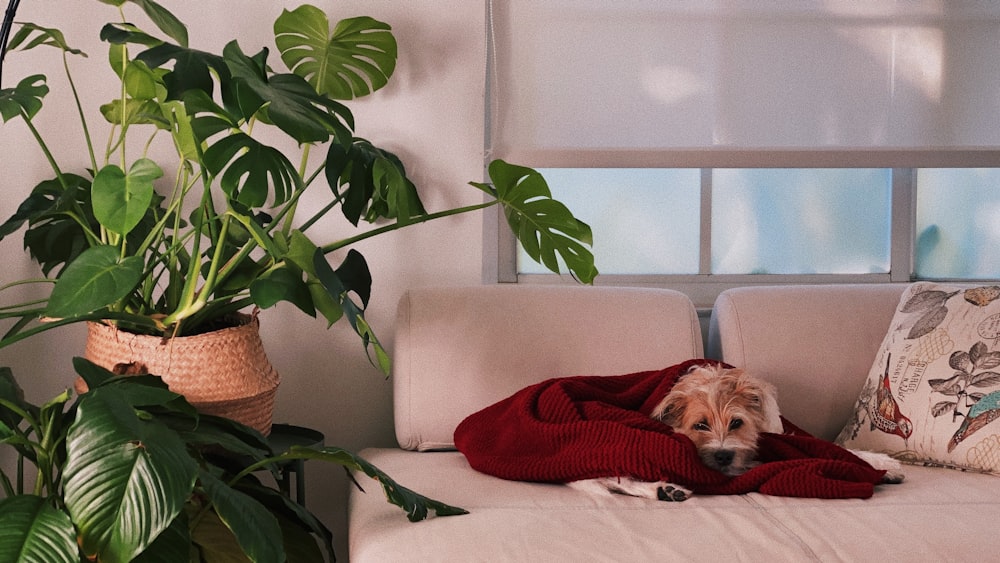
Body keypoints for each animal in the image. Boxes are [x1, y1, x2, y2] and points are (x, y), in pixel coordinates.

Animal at [568, 366, 904, 502]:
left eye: (736, 423)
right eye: (700, 425)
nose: (723, 456)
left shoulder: (782, 433)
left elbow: (836, 449)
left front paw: (884, 465)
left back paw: (666, 490)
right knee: (616, 478)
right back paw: (665, 489)